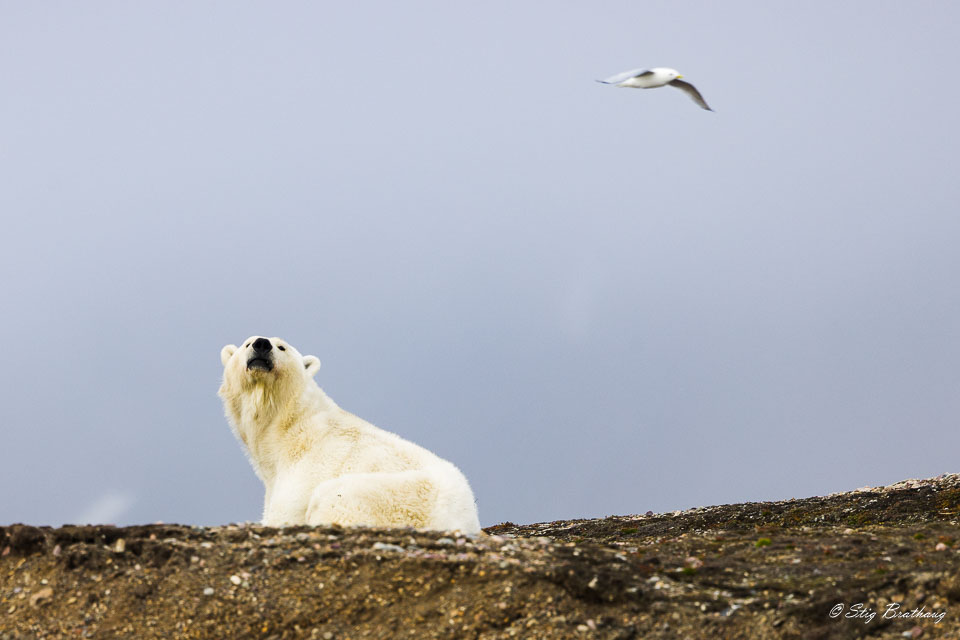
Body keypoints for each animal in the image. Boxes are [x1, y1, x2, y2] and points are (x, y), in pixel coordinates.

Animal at [221, 338, 484, 532]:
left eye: (282, 346)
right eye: (247, 343)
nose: (262, 344)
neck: (285, 426)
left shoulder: (309, 464)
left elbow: (287, 510)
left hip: (397, 495)